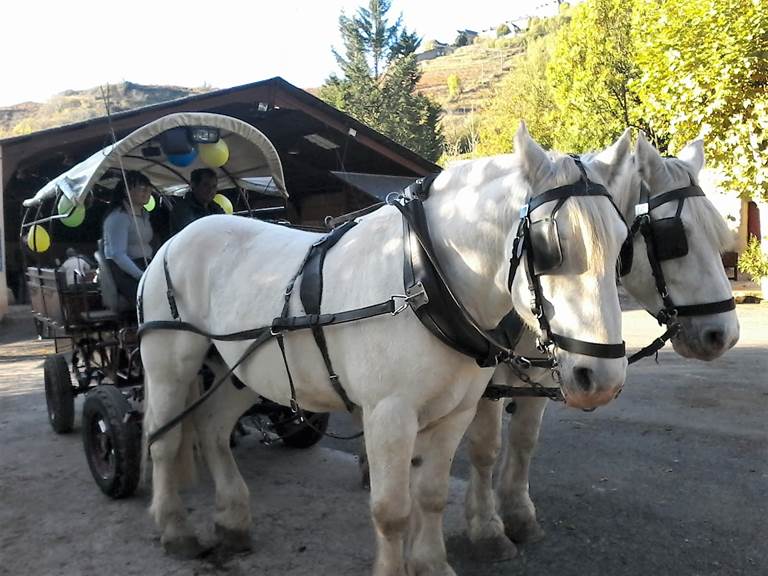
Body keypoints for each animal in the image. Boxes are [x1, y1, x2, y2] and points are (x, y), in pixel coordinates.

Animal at [141, 124, 632, 572]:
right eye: (549, 245)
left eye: (623, 245)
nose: (601, 379)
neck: (422, 274)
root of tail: (177, 239)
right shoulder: (389, 415)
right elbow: (392, 511)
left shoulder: (456, 411)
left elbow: (431, 495)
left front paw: (432, 563)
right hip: (170, 364)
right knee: (163, 438)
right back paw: (175, 529)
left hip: (239, 371)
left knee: (210, 427)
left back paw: (232, 521)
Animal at [462, 130, 736, 560]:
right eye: (674, 239)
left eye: (717, 232)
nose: (723, 334)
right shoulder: (487, 384)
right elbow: (485, 447)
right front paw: (486, 529)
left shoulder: (550, 372)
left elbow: (524, 440)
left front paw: (518, 515)